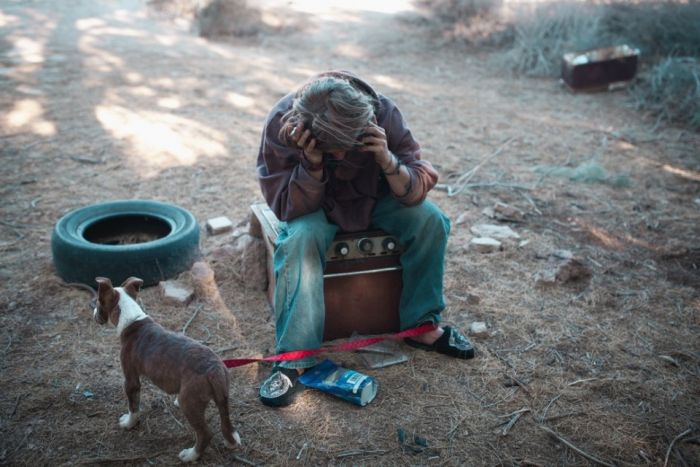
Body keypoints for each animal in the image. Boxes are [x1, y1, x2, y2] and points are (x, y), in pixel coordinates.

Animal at [93, 276, 242, 462]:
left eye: (97, 302)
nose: (93, 314)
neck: (132, 318)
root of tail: (214, 369)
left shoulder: (131, 380)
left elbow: (133, 406)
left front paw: (129, 423)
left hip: (189, 404)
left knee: (205, 433)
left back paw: (190, 455)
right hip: (222, 397)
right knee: (224, 421)